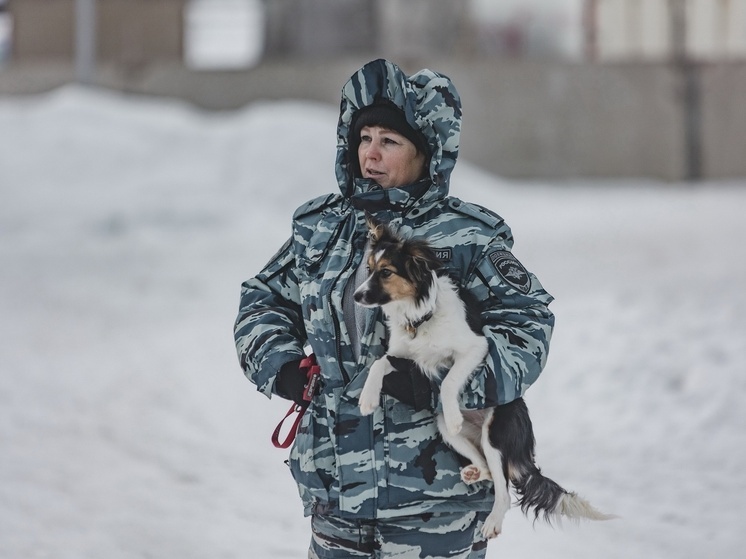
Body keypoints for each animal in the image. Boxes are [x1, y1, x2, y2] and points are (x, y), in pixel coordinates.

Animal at [354, 217, 612, 540]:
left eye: (386, 272)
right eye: (369, 269)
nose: (357, 296)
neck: (420, 315)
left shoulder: (475, 348)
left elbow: (449, 381)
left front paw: (453, 412)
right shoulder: (404, 356)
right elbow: (379, 363)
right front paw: (367, 398)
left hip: (495, 437)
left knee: (502, 490)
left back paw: (493, 521)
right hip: (450, 434)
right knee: (486, 468)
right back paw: (473, 471)